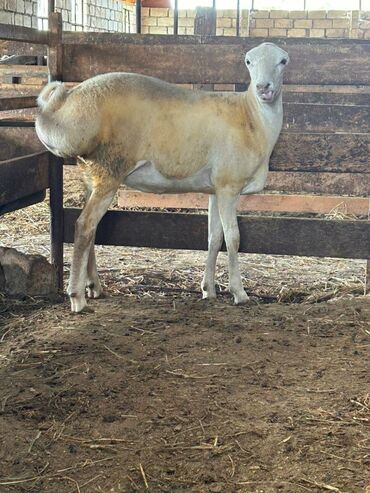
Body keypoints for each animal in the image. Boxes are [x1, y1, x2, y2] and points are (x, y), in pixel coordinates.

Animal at [35, 41, 290, 312]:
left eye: (283, 61)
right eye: (248, 61)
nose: (264, 88)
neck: (252, 117)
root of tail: (66, 102)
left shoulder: (215, 189)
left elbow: (214, 238)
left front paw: (208, 290)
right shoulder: (229, 185)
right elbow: (233, 238)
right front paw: (239, 292)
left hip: (90, 175)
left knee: (91, 228)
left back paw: (94, 286)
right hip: (110, 170)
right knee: (84, 226)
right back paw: (77, 297)